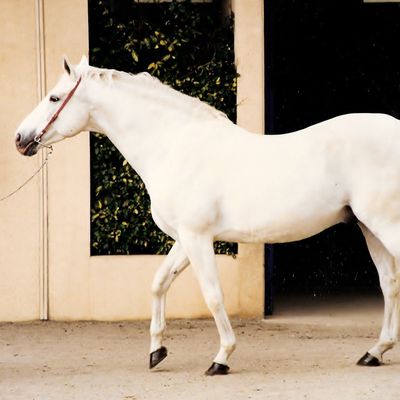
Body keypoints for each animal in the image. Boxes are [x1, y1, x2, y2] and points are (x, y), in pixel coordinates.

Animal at [14, 56, 400, 376]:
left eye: (53, 98)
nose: (20, 138)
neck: (173, 146)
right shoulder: (185, 239)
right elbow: (159, 283)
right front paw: (157, 351)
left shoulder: (198, 237)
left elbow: (213, 295)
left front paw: (221, 358)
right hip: (368, 227)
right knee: (389, 284)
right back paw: (375, 352)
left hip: (385, 225)